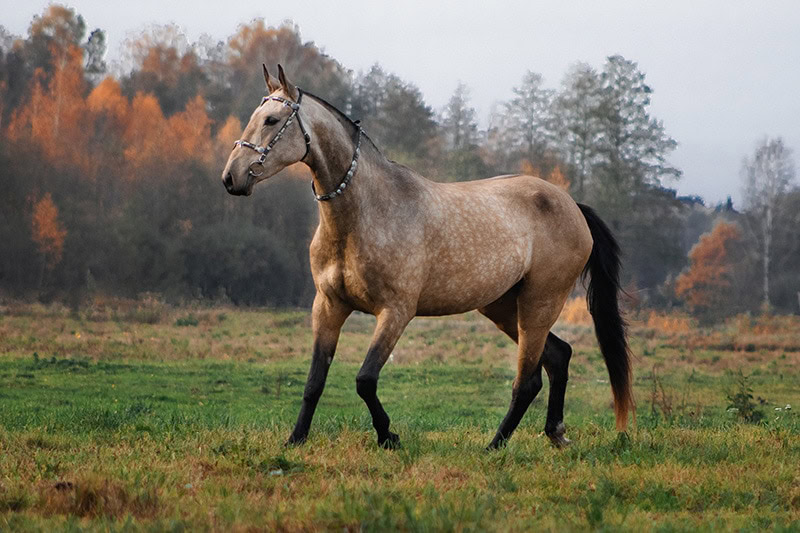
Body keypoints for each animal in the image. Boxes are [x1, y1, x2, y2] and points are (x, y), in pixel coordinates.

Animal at [221, 64, 633, 449]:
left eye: (272, 120)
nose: (231, 178)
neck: (365, 215)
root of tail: (572, 206)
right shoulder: (328, 306)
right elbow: (314, 382)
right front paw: (295, 439)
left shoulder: (396, 312)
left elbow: (365, 380)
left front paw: (389, 436)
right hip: (503, 306)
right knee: (557, 357)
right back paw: (554, 433)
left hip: (539, 303)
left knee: (527, 380)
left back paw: (494, 446)